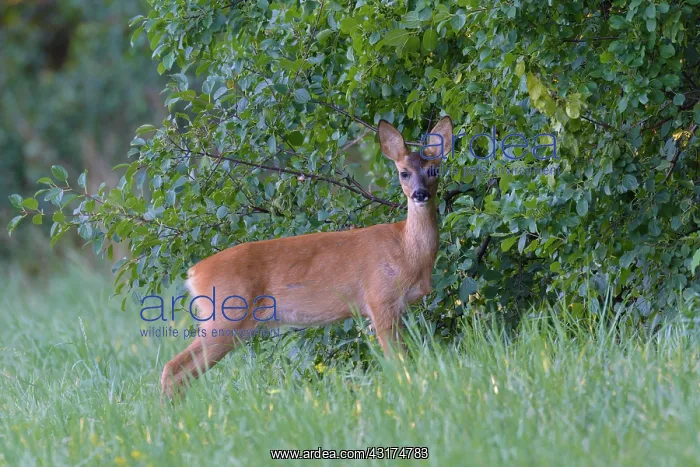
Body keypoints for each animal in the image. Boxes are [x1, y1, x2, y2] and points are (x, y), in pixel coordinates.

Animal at [161, 116, 453, 398]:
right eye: (403, 172)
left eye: (434, 170)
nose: (420, 194)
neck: (406, 250)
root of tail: (193, 274)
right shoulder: (379, 298)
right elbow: (399, 362)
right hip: (226, 314)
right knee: (173, 368)